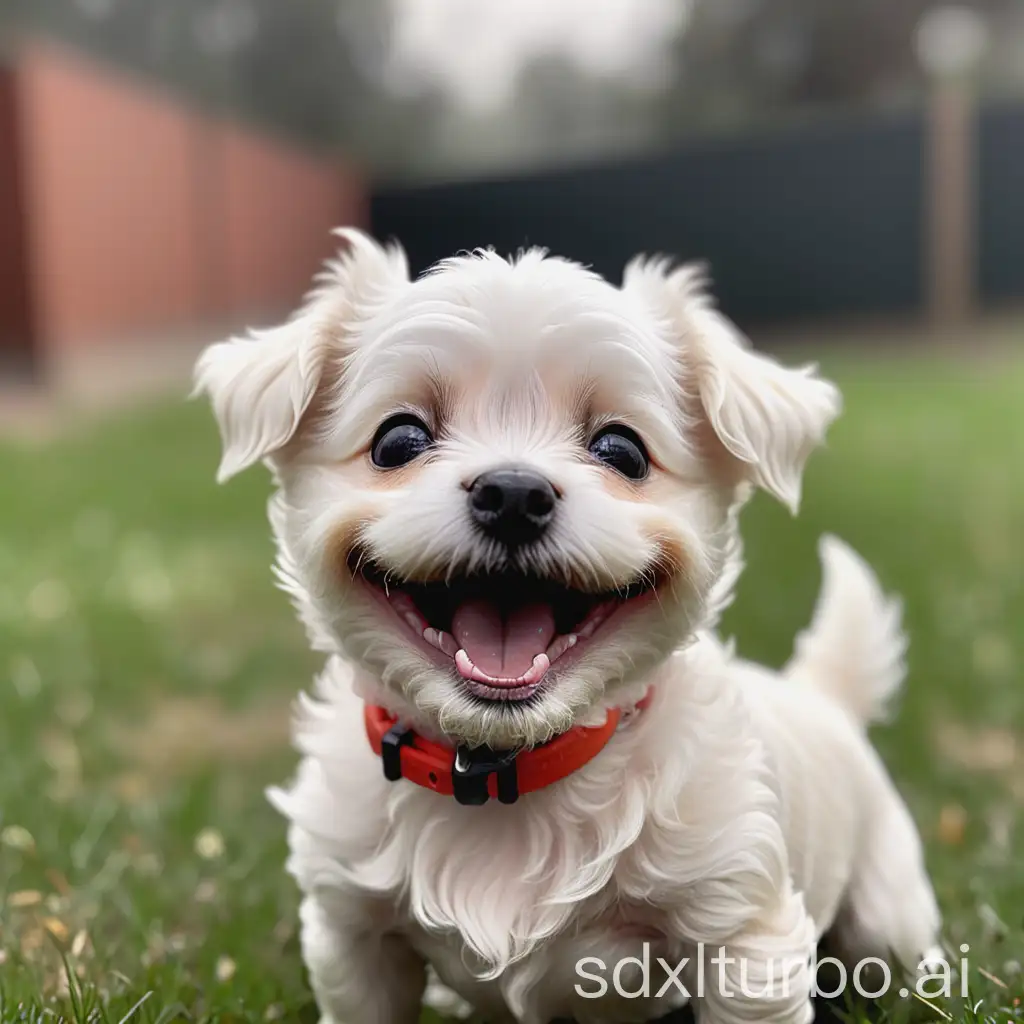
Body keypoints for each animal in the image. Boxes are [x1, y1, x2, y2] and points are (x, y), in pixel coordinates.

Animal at [195, 232, 937, 1024]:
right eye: (397, 440)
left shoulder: (743, 936)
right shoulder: (352, 935)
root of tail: (823, 698)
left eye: (621, 450)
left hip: (885, 915)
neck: (506, 769)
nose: (513, 493)